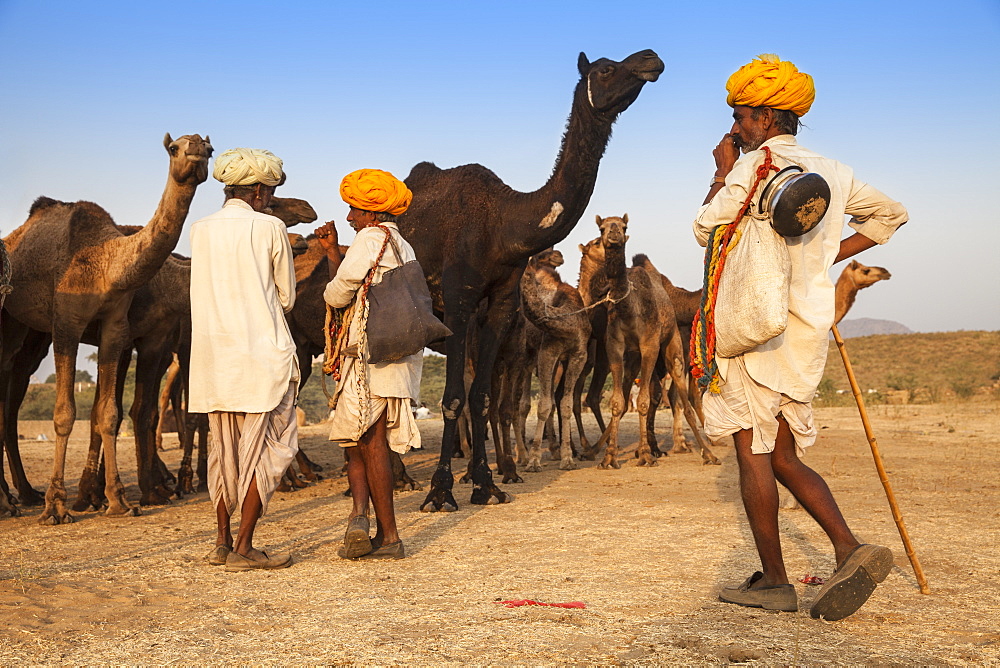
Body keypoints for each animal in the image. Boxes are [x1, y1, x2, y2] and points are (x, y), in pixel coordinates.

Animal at [0, 133, 211, 524]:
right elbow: (65, 413)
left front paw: (118, 500)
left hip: (29, 333)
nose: (194, 152)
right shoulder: (66, 324)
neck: (104, 262)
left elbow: (108, 413)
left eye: (210, 148)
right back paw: (13, 500)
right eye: (174, 148)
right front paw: (57, 505)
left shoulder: (115, 328)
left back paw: (24, 494)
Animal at [520, 248, 588, 472]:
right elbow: (543, 405)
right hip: (527, 353)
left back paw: (554, 450)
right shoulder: (547, 352)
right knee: (522, 402)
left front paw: (567, 458)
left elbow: (565, 404)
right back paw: (521, 455)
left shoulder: (578, 355)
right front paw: (533, 461)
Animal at [580, 217, 720, 468]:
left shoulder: (654, 349)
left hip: (666, 352)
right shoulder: (618, 348)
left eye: (624, 227)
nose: (614, 235)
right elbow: (632, 399)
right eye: (601, 230)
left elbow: (653, 397)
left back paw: (707, 451)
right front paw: (628, 452)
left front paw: (649, 450)